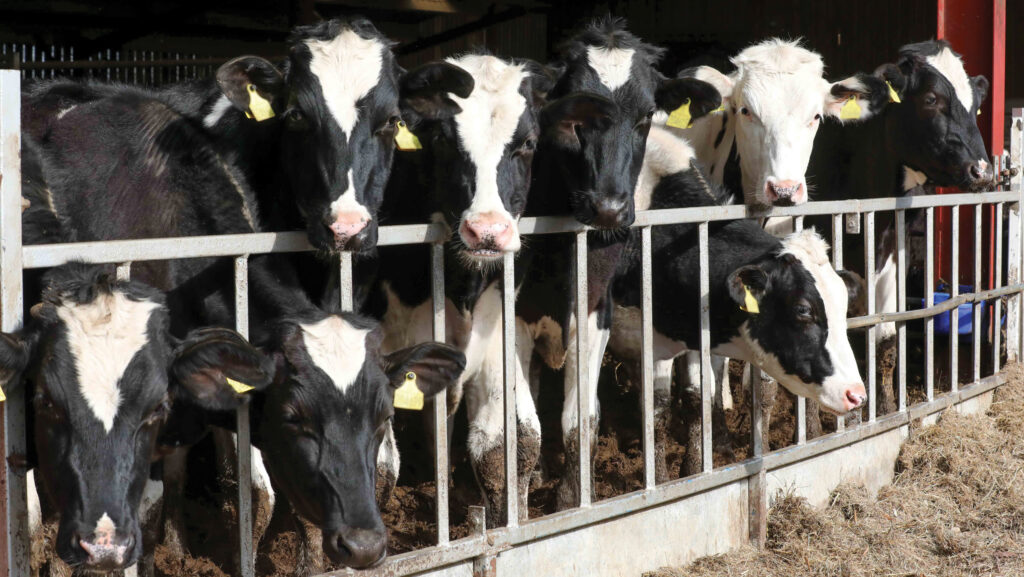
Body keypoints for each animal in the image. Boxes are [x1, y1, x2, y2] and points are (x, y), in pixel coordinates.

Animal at [515, 16, 721, 512]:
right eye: (571, 119)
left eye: (644, 116)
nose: (608, 208)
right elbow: (522, 430)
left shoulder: (596, 313)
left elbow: (581, 420)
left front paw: (571, 502)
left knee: (691, 395)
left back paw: (687, 472)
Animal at [608, 125, 867, 480]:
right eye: (803, 310)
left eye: (843, 308)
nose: (856, 394)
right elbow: (655, 412)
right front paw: (659, 479)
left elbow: (698, 397)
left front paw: (695, 467)